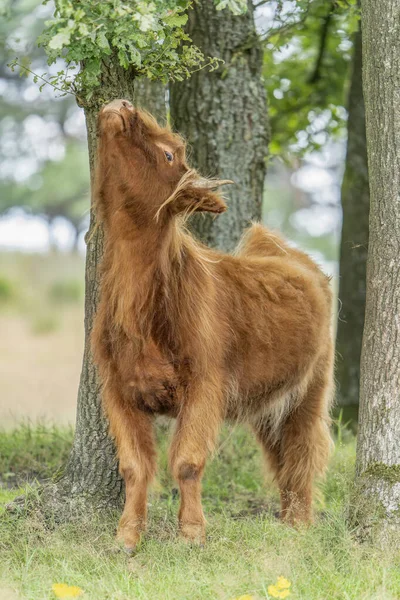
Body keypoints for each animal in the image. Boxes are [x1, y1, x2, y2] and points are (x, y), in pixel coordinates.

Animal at [91, 98, 334, 552]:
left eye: (169, 153)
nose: (123, 103)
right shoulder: (118, 388)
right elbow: (134, 466)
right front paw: (127, 536)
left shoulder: (205, 385)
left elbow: (186, 461)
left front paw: (191, 534)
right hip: (269, 402)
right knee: (280, 457)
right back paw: (287, 521)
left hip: (311, 388)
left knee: (302, 452)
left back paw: (299, 527)